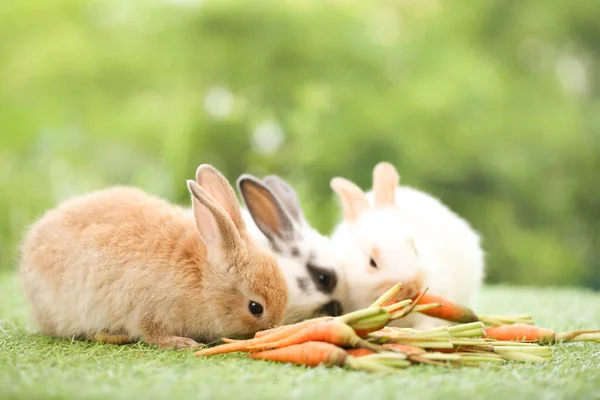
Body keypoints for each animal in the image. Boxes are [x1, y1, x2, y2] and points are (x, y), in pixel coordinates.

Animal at [19, 164, 288, 348]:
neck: (202, 280)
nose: (274, 328)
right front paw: (183, 344)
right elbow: (151, 332)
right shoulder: (146, 308)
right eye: (255, 308)